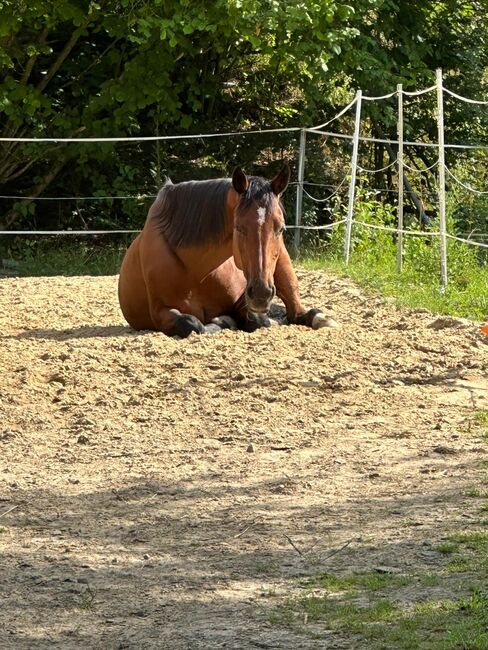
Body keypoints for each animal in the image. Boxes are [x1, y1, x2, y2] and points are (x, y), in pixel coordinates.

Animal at [118, 162, 336, 336]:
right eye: (238, 227)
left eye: (281, 227)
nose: (261, 293)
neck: (198, 271)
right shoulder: (160, 312)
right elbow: (192, 323)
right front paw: (221, 321)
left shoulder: (242, 299)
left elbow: (257, 319)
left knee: (296, 311)